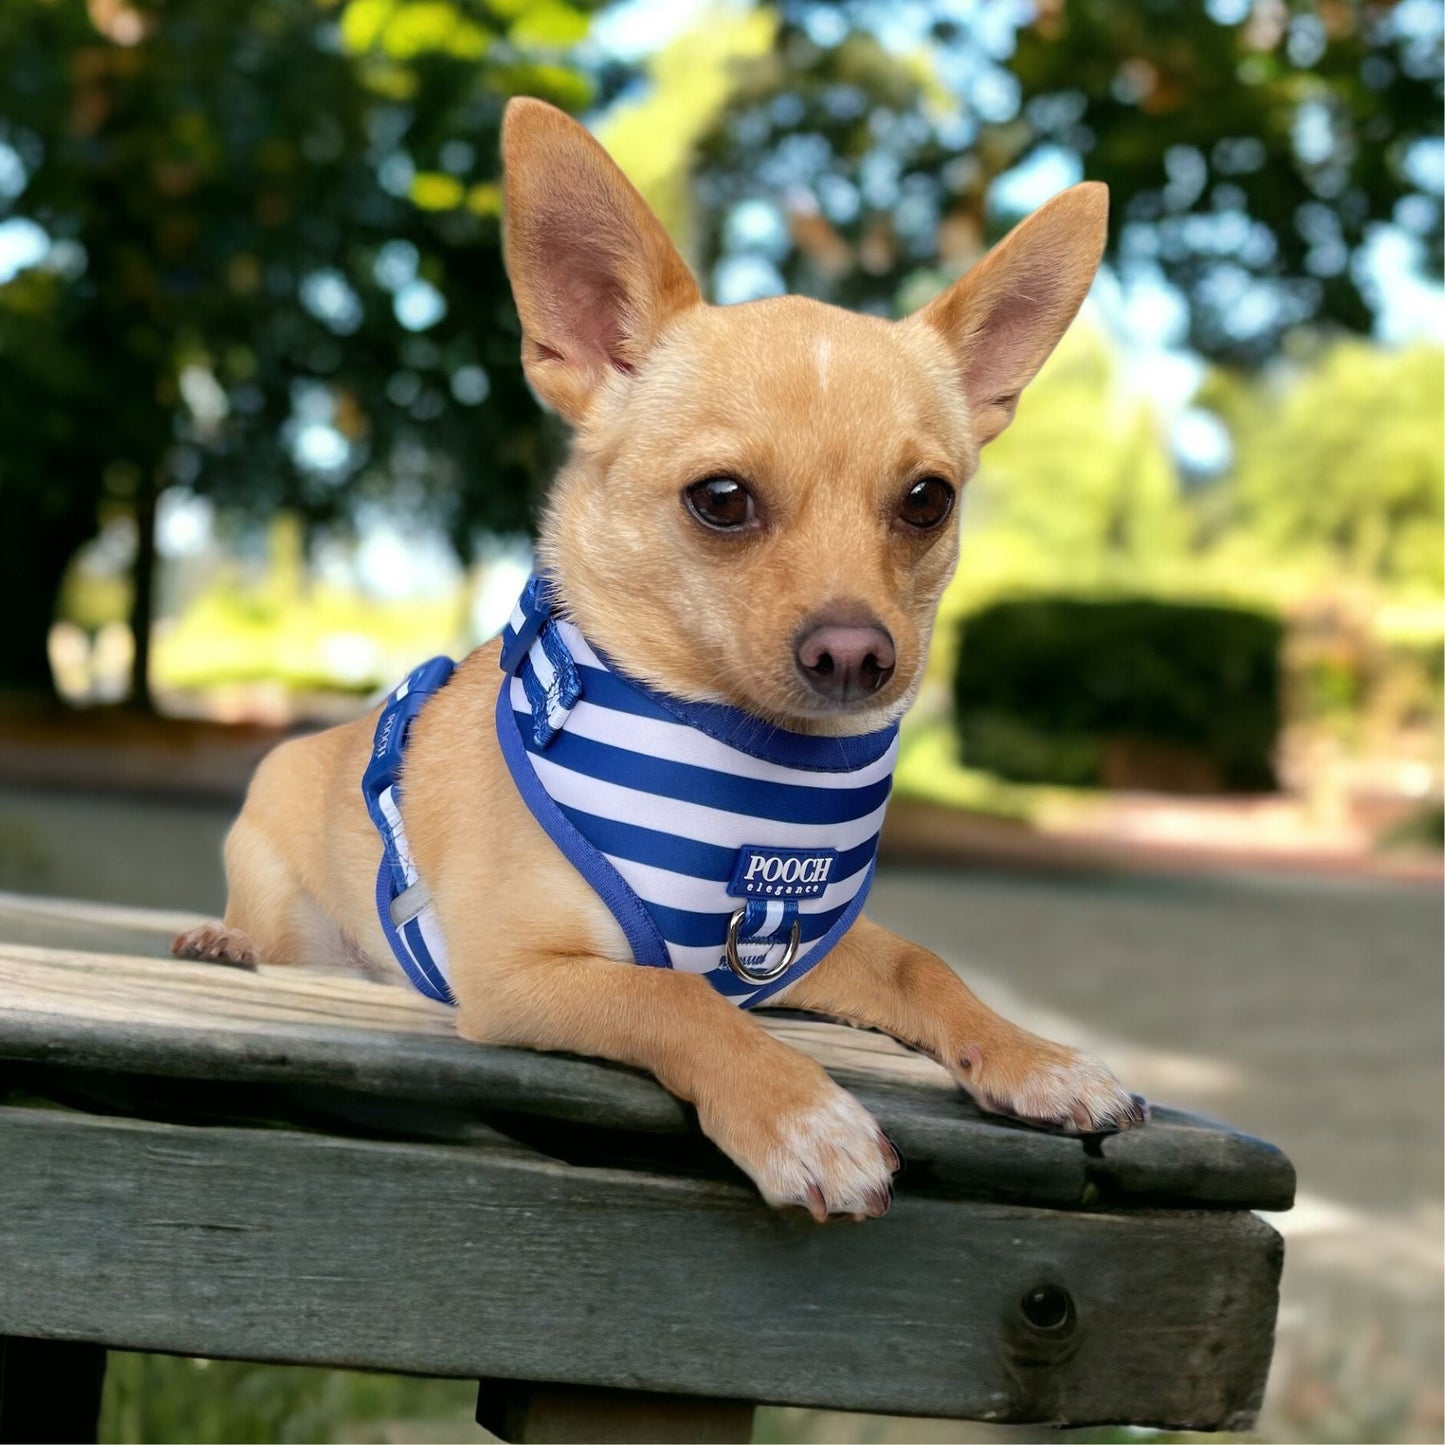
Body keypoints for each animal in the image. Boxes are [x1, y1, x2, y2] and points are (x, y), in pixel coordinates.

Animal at [180, 96, 1144, 1219]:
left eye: (927, 500)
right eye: (720, 499)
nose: (858, 652)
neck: (748, 767)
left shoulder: (793, 958)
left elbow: (919, 963)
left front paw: (1035, 1055)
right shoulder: (519, 974)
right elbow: (674, 994)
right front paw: (800, 1113)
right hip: (278, 879)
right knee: (270, 926)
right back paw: (223, 938)